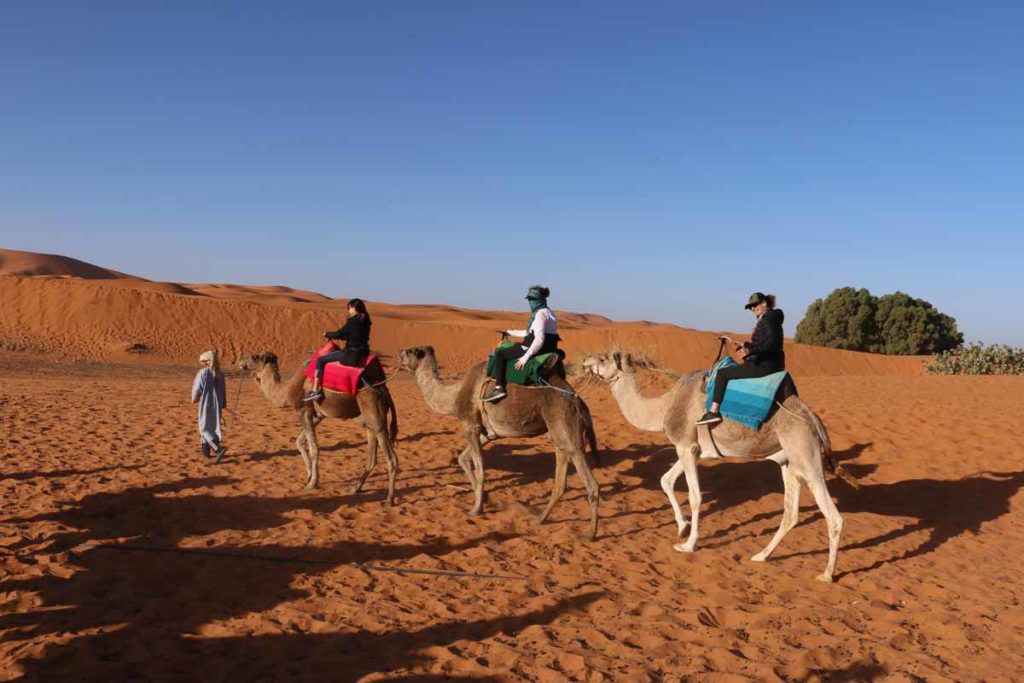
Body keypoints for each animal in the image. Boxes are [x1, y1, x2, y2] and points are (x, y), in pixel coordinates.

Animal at [238, 352, 399, 501]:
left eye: (254, 356)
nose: (239, 361)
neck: (287, 389)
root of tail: (384, 390)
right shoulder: (317, 414)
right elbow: (300, 441)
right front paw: (309, 475)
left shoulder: (303, 409)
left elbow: (314, 448)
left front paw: (312, 483)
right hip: (368, 422)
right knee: (372, 458)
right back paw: (354, 488)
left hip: (375, 416)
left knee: (391, 458)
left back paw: (389, 498)